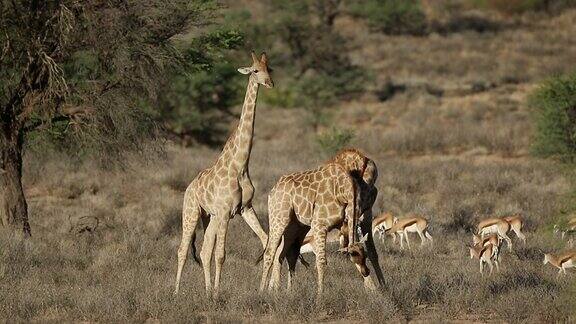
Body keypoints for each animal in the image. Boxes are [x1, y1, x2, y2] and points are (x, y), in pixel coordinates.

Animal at [173, 51, 274, 296]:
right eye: (255, 70)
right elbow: (221, 254)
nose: (269, 83)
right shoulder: (226, 211)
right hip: (191, 213)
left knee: (203, 250)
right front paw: (219, 293)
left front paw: (268, 287)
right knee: (183, 249)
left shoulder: (245, 208)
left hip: (210, 217)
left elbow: (266, 240)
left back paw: (207, 290)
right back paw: (176, 292)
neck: (240, 165)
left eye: (269, 69)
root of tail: (189, 187)